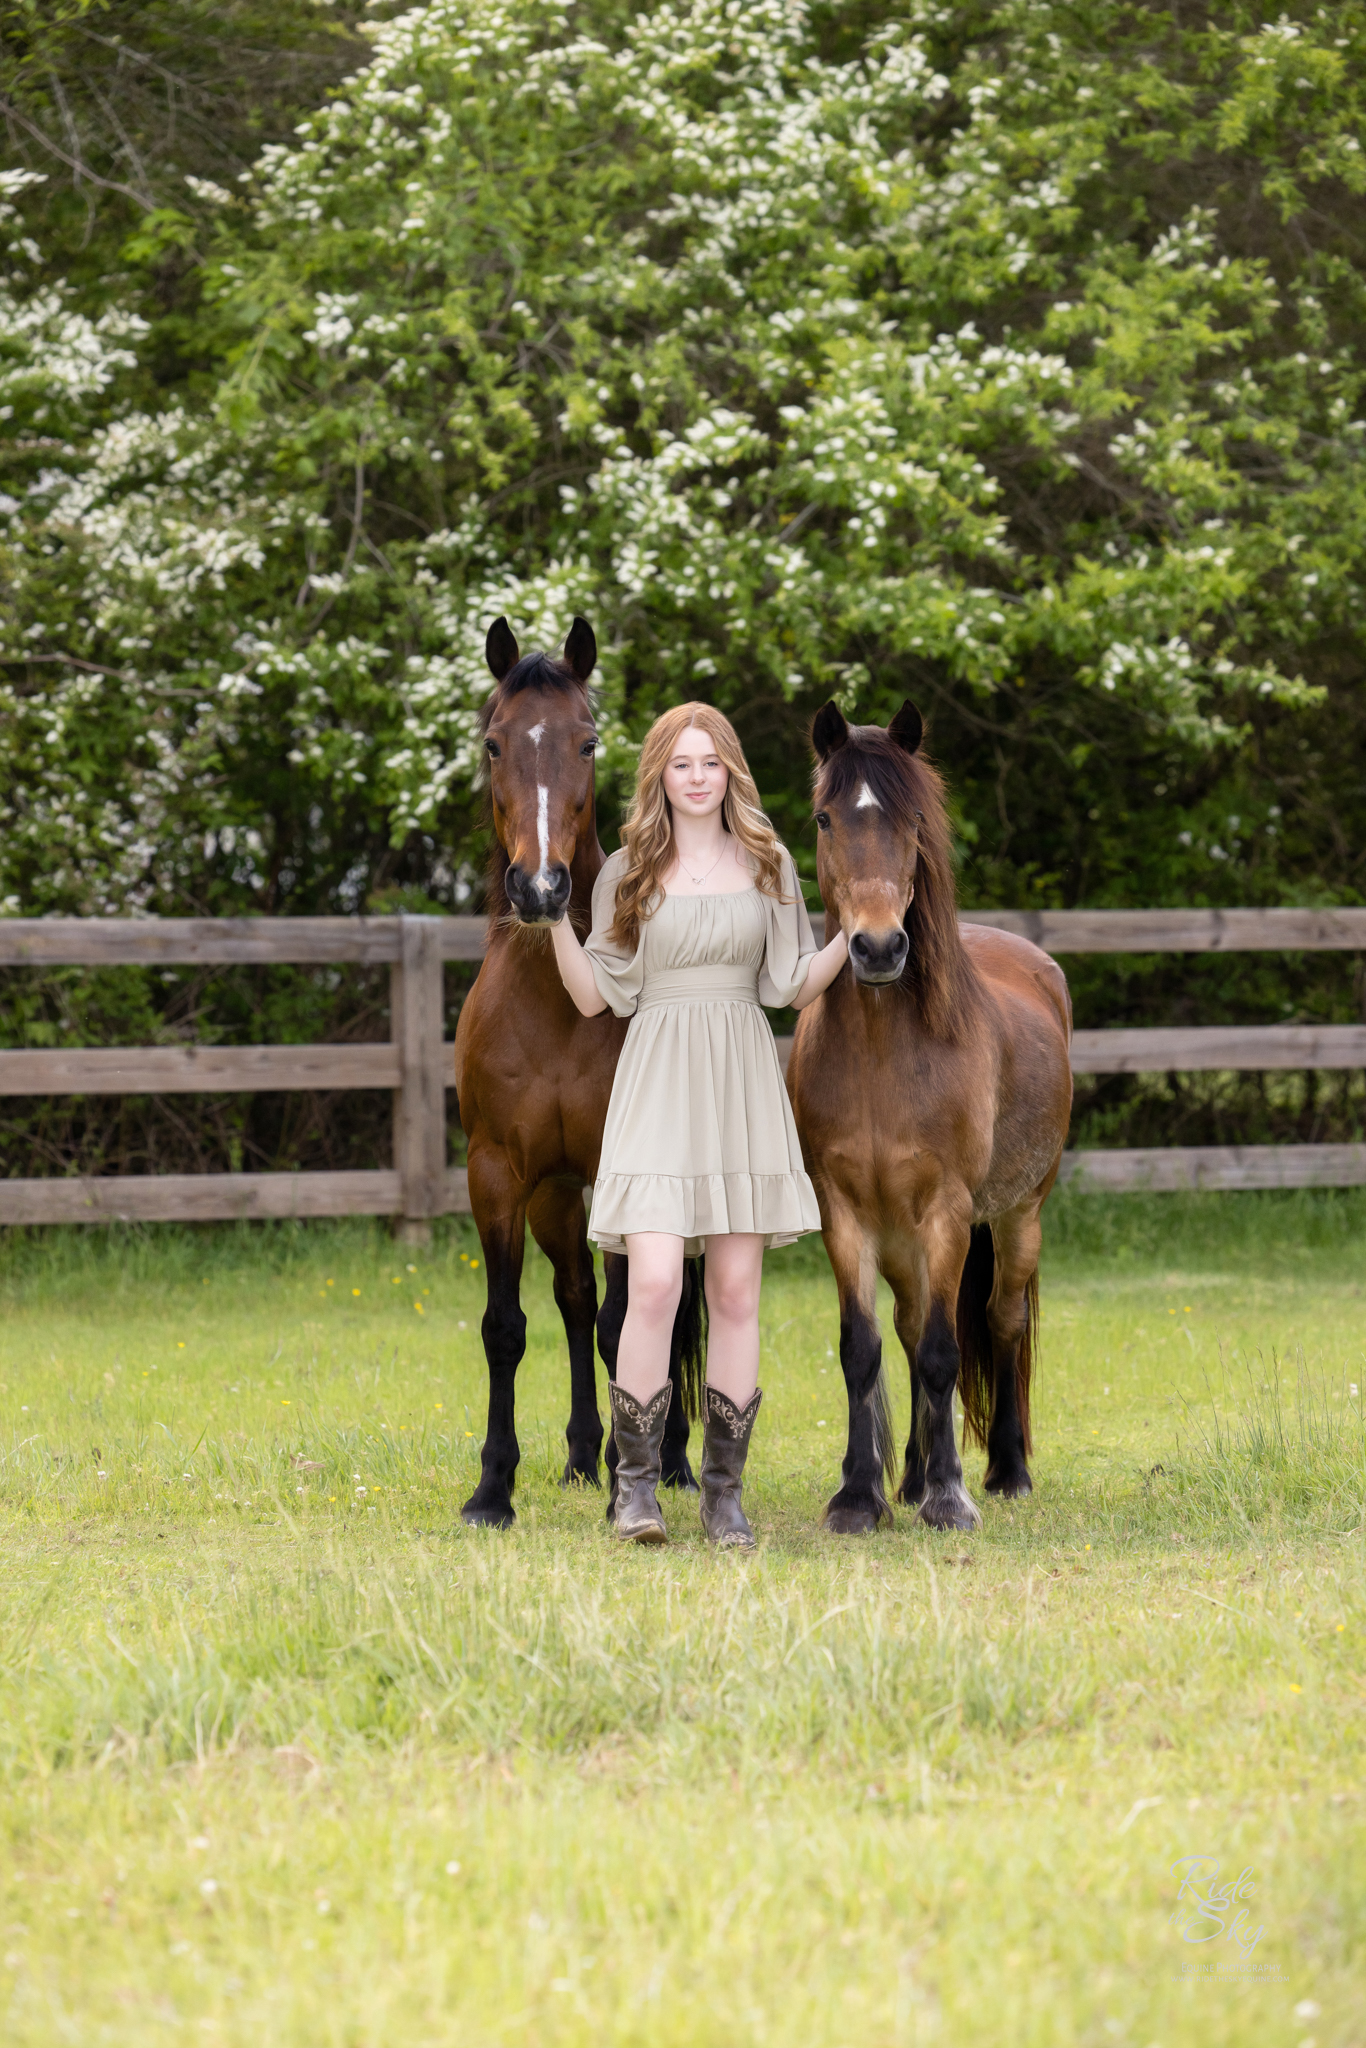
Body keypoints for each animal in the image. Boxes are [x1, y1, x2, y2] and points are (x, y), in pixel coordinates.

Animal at [456, 614, 700, 1531]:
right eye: (494, 743)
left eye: (587, 741)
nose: (540, 889)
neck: (558, 1004)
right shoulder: (497, 1175)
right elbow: (509, 1325)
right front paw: (493, 1489)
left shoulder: (622, 1171)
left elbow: (629, 1324)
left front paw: (636, 1480)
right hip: (557, 1198)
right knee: (571, 1298)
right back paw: (581, 1456)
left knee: (672, 1310)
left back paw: (672, 1462)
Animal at [790, 708, 1081, 1540]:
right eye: (825, 817)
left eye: (912, 821)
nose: (879, 946)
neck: (884, 1060)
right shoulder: (847, 1214)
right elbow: (864, 1349)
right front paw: (860, 1496)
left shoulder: (948, 1212)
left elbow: (947, 1353)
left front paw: (952, 1499)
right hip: (900, 1238)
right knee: (912, 1324)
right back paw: (915, 1475)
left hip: (1017, 1216)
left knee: (1001, 1320)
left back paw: (1006, 1471)